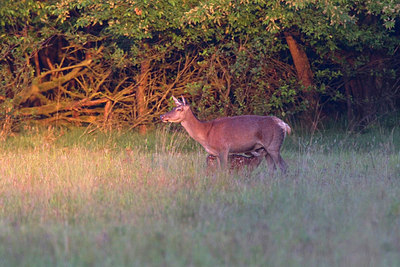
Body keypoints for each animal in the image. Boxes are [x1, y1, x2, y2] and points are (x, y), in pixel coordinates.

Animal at [159, 96, 290, 174]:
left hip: (273, 146)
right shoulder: (216, 153)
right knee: (272, 169)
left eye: (179, 109)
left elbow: (223, 170)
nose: (162, 116)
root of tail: (284, 125)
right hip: (266, 149)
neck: (206, 133)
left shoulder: (223, 148)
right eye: (173, 107)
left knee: (283, 166)